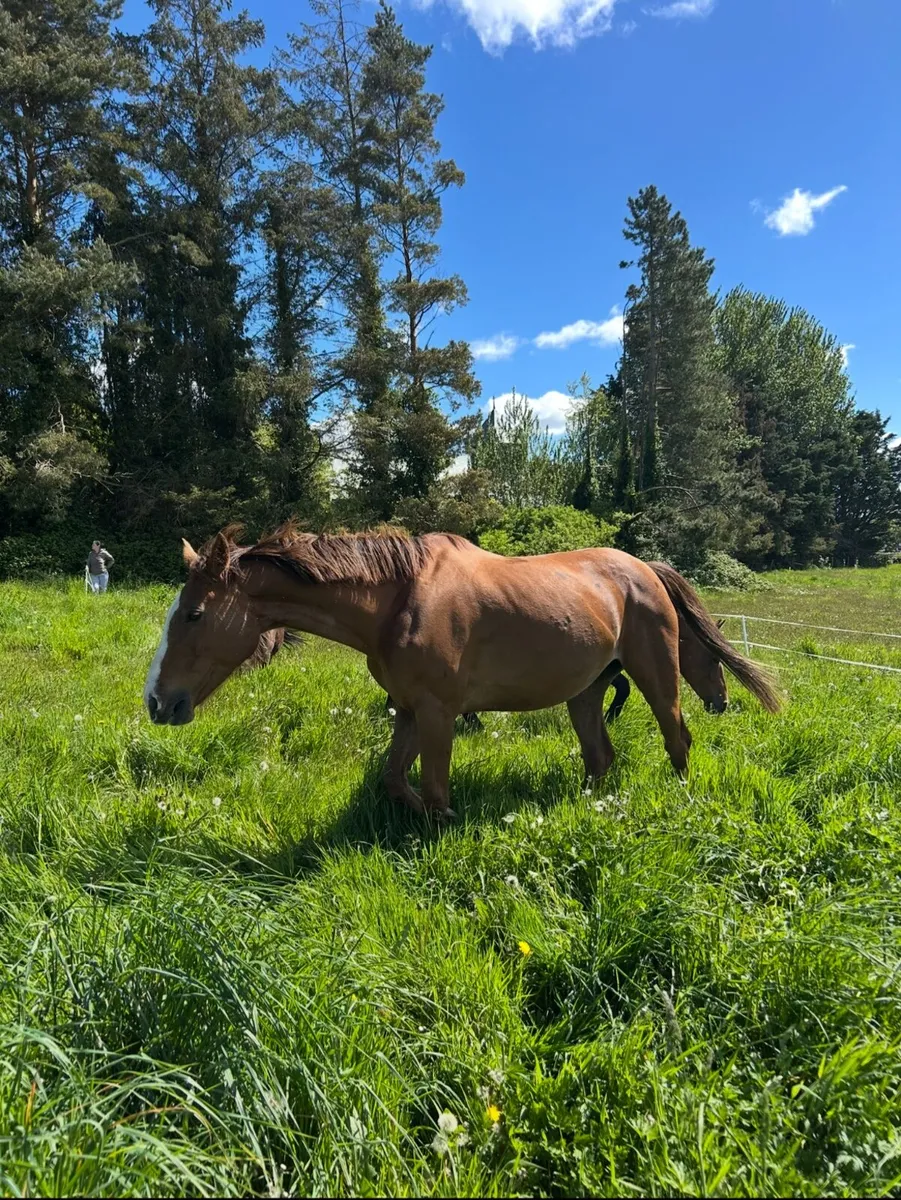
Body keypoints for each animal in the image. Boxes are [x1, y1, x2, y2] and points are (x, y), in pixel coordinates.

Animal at [144, 524, 779, 818]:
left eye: (195, 613)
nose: (157, 701)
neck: (397, 601)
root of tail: (642, 568)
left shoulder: (439, 713)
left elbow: (432, 786)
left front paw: (445, 821)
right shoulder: (408, 709)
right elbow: (395, 779)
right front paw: (430, 815)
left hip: (656, 677)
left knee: (678, 741)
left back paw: (681, 799)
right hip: (586, 691)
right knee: (600, 757)